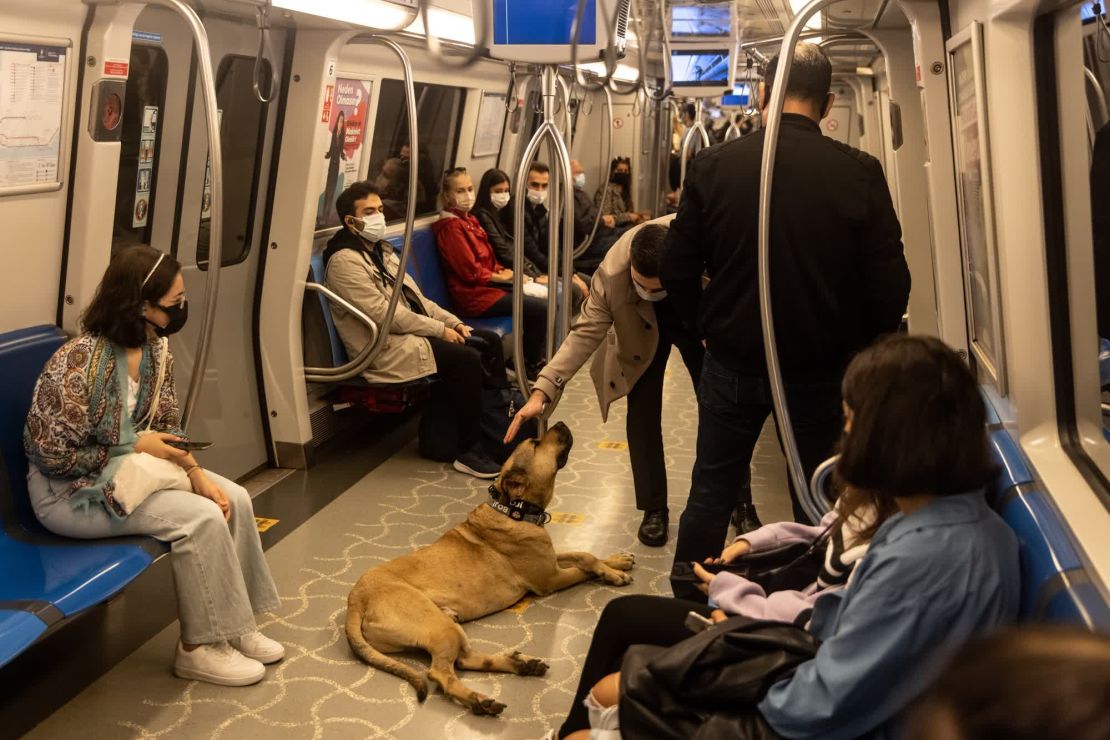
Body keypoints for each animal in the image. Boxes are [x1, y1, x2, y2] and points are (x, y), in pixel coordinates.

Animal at [346, 421, 639, 718]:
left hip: (448, 625)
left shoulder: (551, 559)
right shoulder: (551, 578)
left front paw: (617, 561)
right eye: (536, 442)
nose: (558, 423)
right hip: (439, 626)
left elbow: (584, 554)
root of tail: (356, 600)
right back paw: (479, 700)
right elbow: (585, 566)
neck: (512, 510)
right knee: (441, 673)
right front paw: (613, 574)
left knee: (465, 660)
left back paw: (520, 666)